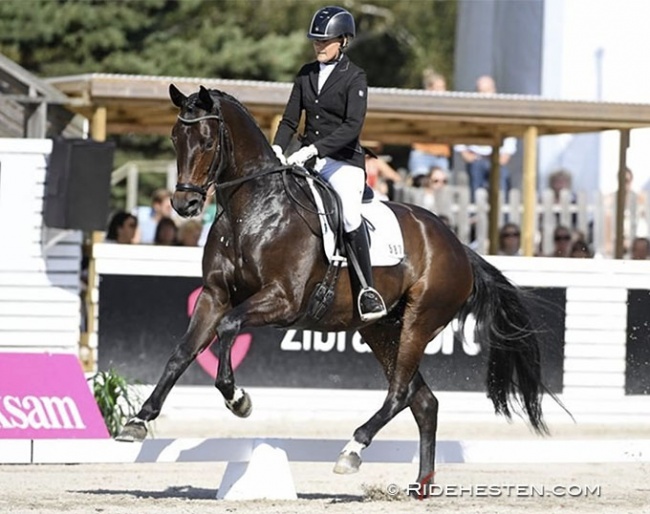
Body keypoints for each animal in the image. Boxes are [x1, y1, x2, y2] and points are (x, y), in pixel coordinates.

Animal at [119, 84, 548, 492]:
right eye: (175, 137)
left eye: (207, 140)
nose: (185, 205)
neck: (254, 210)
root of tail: (458, 245)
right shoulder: (214, 296)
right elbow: (182, 352)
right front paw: (138, 421)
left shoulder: (282, 300)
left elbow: (227, 330)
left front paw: (239, 400)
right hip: (381, 330)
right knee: (423, 401)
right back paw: (420, 486)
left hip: (420, 321)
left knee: (400, 393)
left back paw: (352, 450)